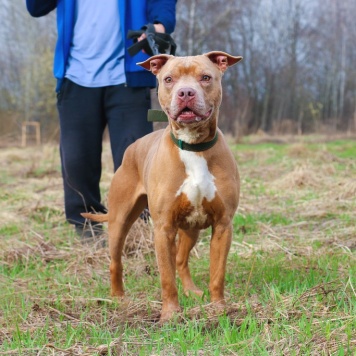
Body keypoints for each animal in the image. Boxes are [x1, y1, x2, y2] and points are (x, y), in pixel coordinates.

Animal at [81, 51, 242, 322]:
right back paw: (118, 298)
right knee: (116, 261)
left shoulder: (222, 225)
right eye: (168, 79)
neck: (193, 146)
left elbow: (217, 273)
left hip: (191, 227)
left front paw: (218, 308)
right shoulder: (164, 228)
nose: (185, 92)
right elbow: (166, 276)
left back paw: (191, 291)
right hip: (119, 221)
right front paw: (170, 315)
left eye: (205, 77)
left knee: (181, 260)